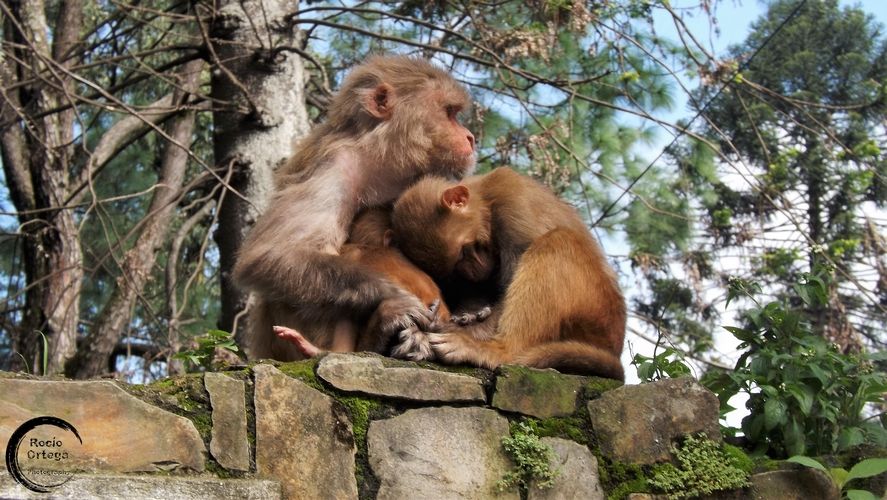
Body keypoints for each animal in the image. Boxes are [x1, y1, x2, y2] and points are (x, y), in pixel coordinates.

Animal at [390, 167, 626, 380]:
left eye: (465, 251)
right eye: (454, 270)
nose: (476, 272)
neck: (486, 197)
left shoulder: (514, 203)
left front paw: (445, 331)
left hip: (598, 312)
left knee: (558, 241)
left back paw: (499, 350)